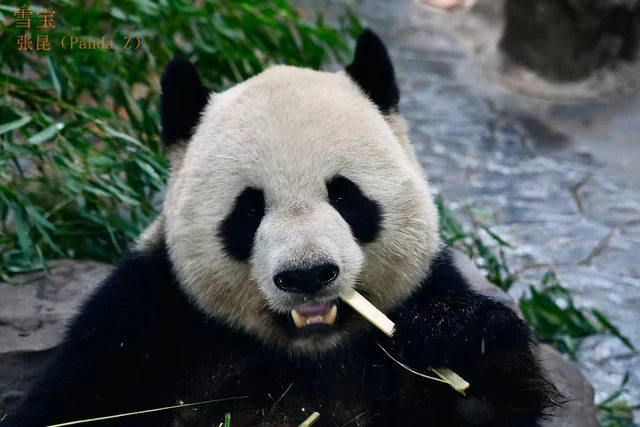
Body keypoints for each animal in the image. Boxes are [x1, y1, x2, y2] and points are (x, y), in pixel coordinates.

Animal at [5, 30, 559, 427]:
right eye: (249, 210)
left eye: (344, 196)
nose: (307, 275)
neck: (309, 353)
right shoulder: (141, 327)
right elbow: (69, 407)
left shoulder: (423, 291)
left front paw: (462, 339)